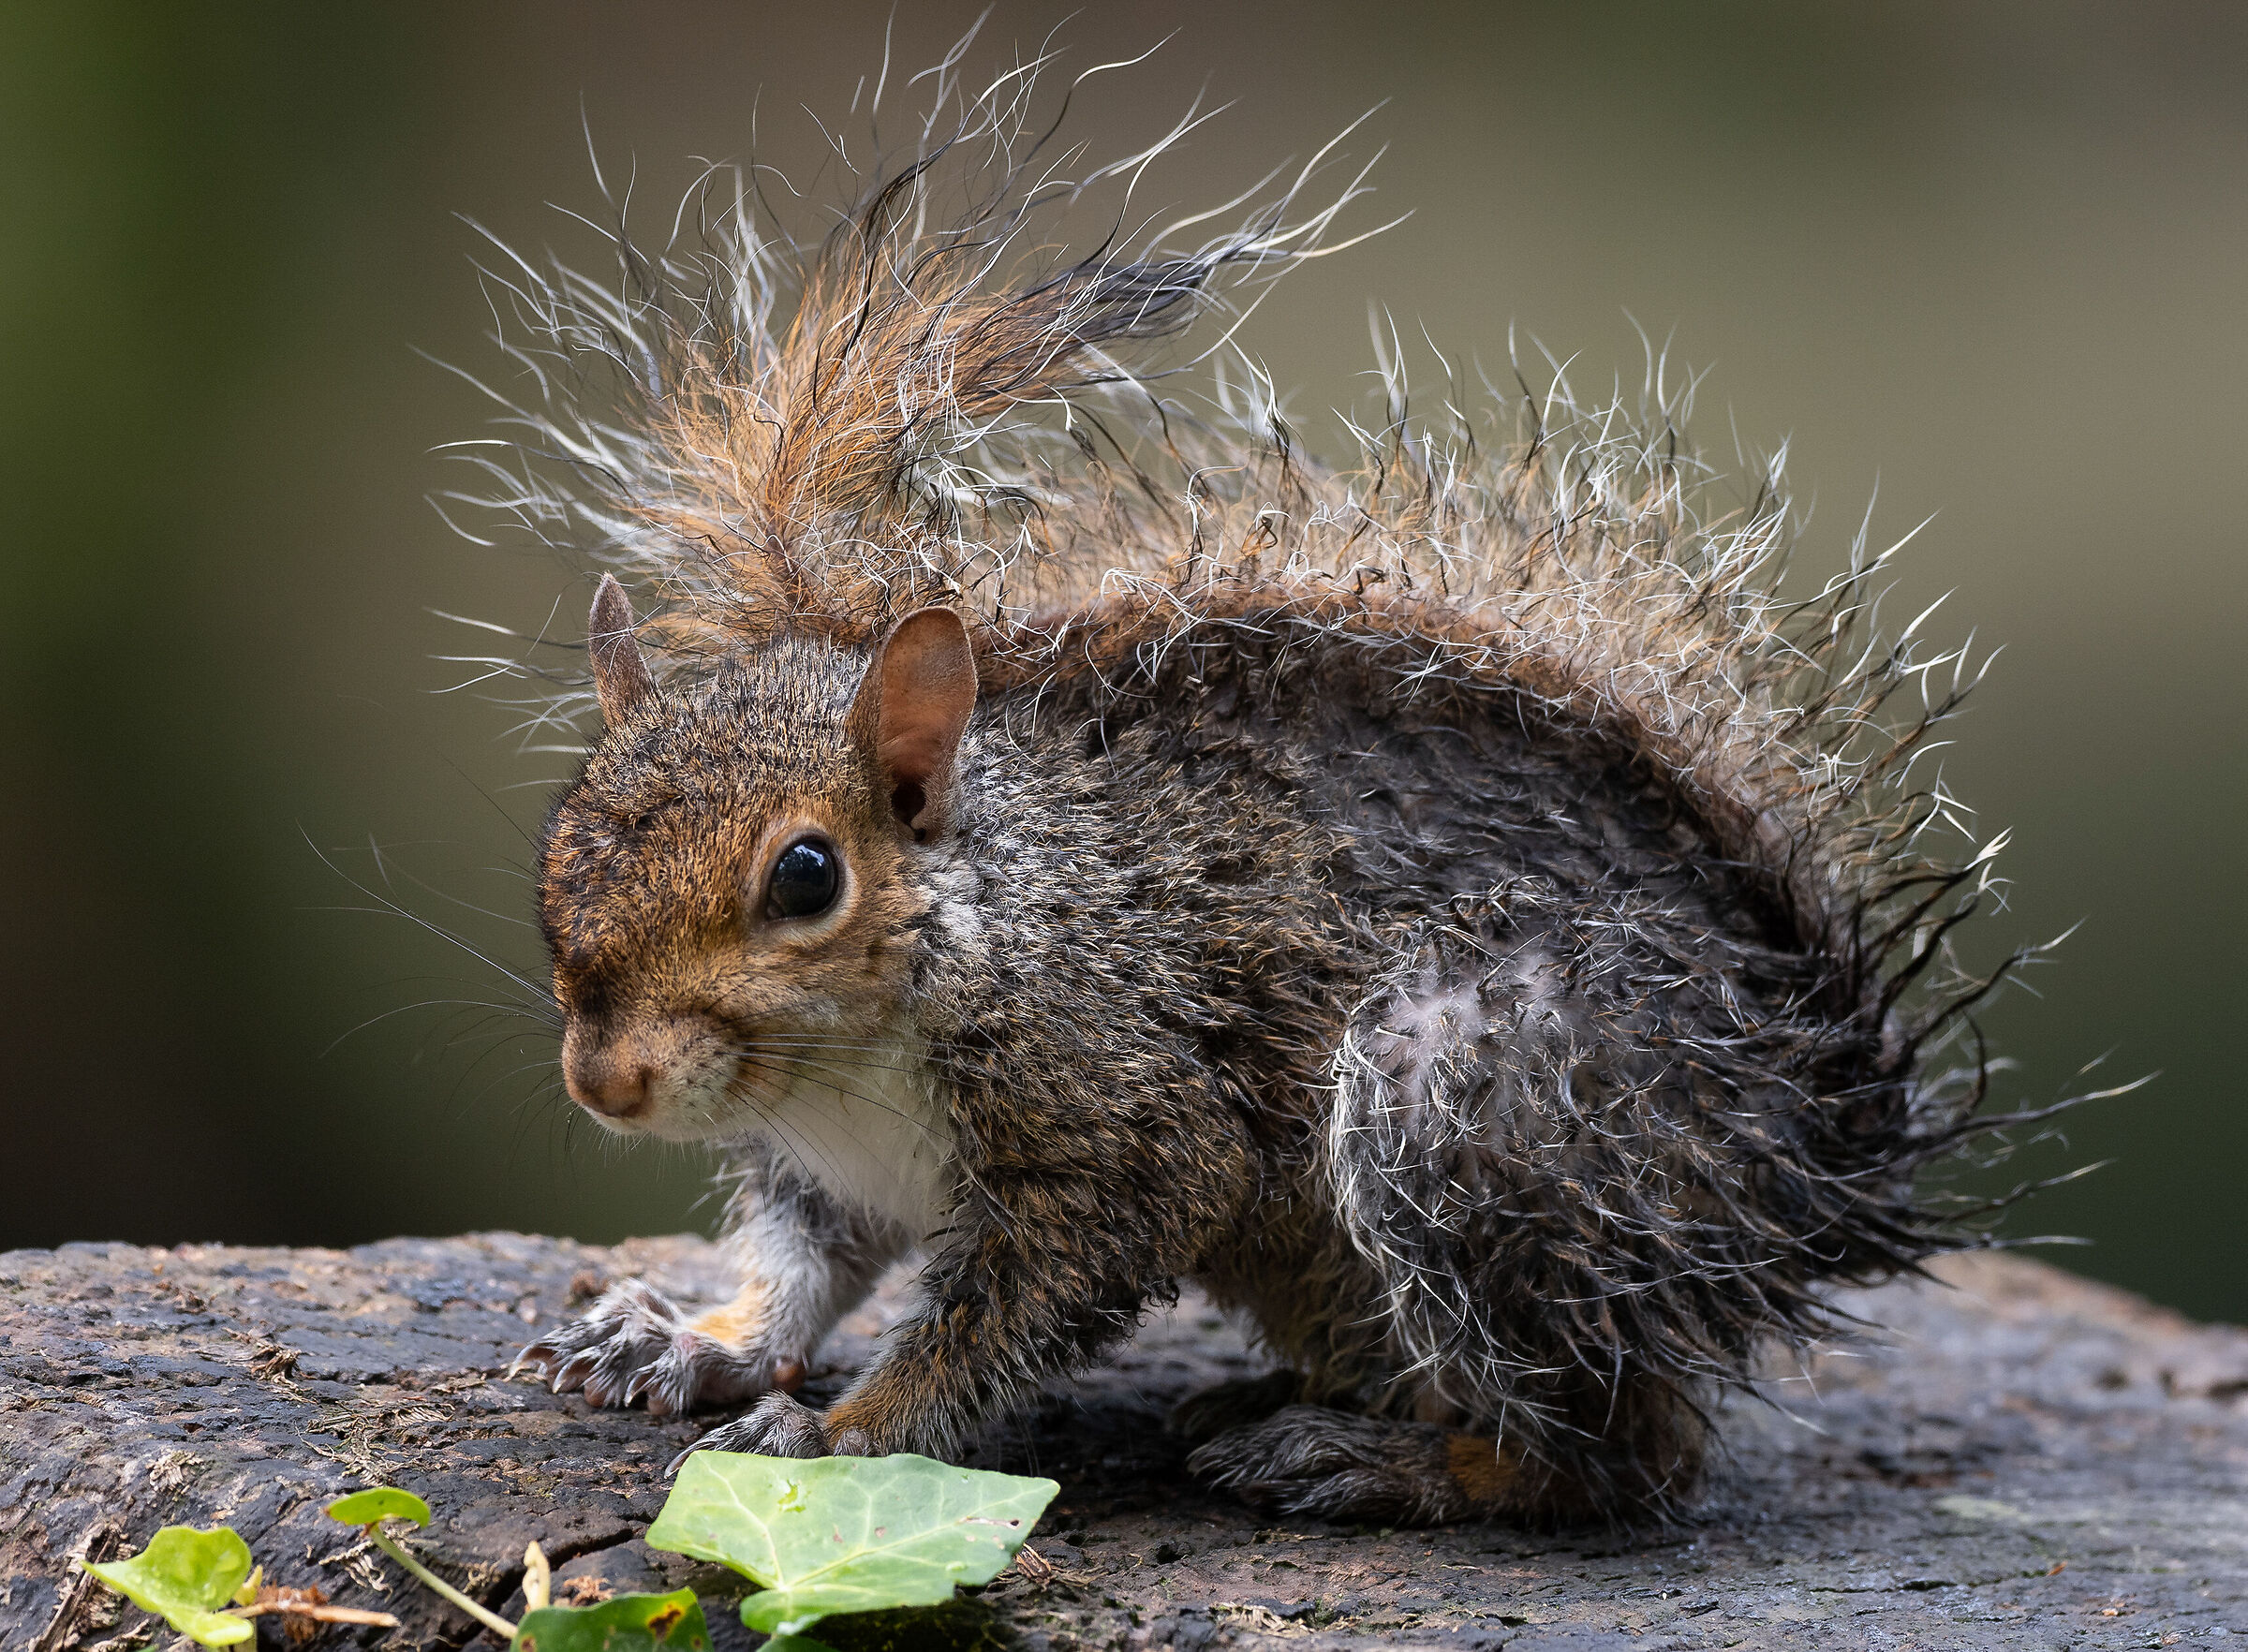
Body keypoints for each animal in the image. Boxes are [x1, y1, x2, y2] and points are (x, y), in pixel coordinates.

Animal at [494, 56, 2037, 1526]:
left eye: (807, 877)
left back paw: (1375, 1459)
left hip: (1476, 1098)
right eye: (558, 847)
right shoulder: (825, 1171)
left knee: (1620, 1453)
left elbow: (996, 1326)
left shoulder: (1128, 1130)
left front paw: (838, 1431)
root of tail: (1818, 1155)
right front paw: (692, 1338)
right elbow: (804, 1267)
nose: (605, 1082)